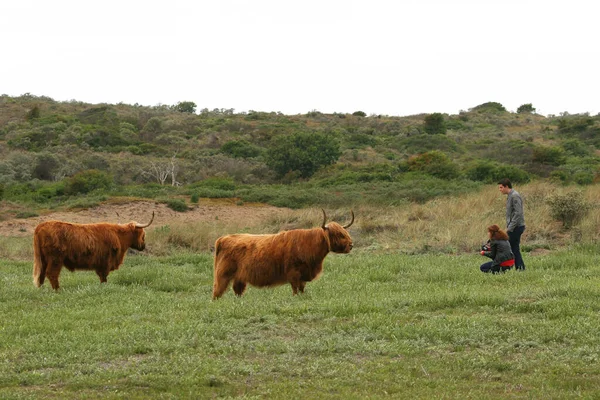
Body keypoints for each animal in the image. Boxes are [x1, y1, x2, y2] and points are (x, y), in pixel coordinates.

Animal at [212, 209, 354, 300]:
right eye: (339, 234)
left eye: (345, 233)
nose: (351, 245)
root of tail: (224, 238)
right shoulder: (294, 273)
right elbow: (295, 289)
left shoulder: (303, 275)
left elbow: (302, 289)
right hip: (223, 275)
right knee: (217, 291)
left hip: (239, 277)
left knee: (237, 290)